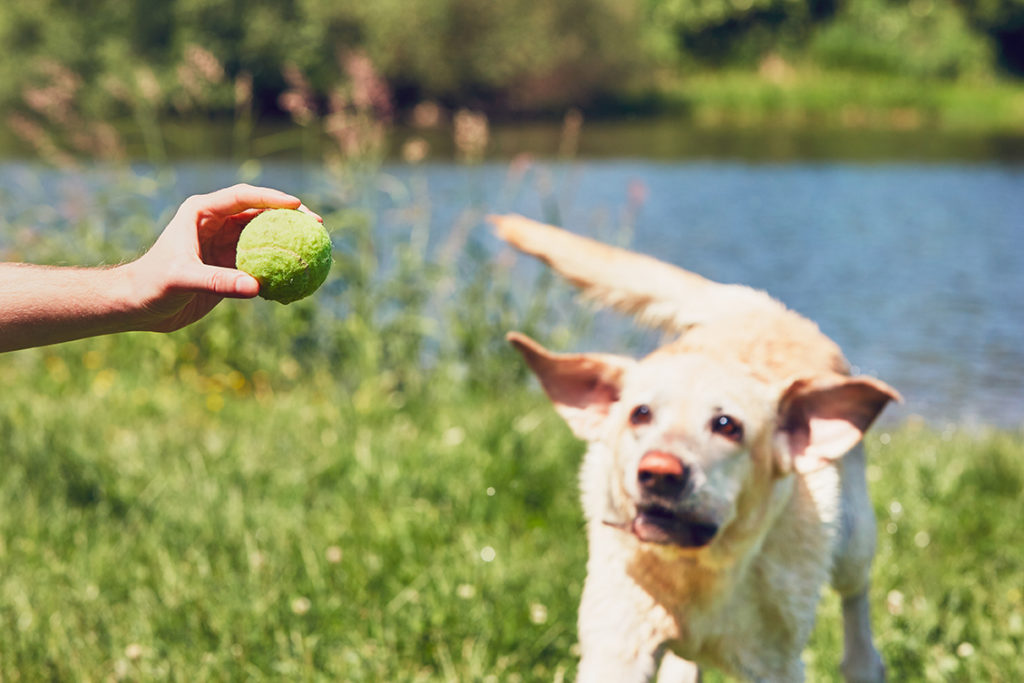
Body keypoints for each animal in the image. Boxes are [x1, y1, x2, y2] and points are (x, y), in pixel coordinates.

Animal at [491, 215, 901, 683]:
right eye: (640, 414)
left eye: (727, 426)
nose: (659, 471)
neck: (693, 573)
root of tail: (762, 307)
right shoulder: (619, 644)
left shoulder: (774, 663)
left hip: (853, 536)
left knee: (856, 597)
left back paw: (863, 663)